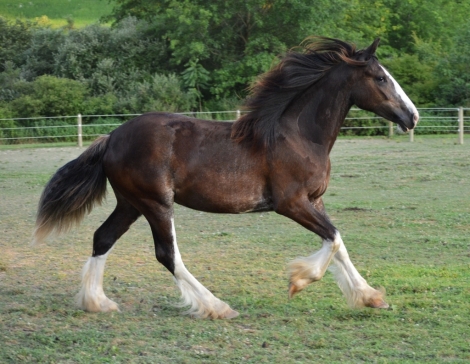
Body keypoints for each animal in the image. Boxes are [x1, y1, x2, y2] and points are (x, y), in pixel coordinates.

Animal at [35, 37, 420, 318]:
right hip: (156, 203)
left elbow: (338, 243)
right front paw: (298, 280)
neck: (298, 135)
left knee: (102, 238)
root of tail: (112, 138)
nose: (412, 116)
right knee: (167, 254)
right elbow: (335, 238)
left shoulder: (315, 200)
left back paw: (96, 302)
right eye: (381, 78)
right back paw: (216, 307)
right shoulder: (291, 203)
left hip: (130, 203)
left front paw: (370, 298)